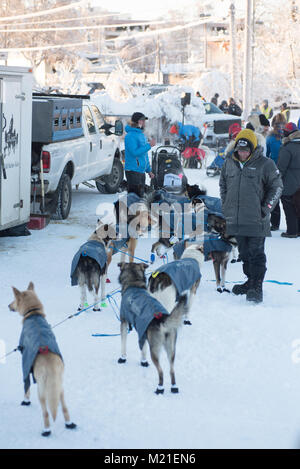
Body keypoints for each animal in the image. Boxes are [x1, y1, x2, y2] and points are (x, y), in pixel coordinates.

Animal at [9, 284, 76, 436]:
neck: (33, 313)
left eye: (13, 299)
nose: (8, 305)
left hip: (41, 391)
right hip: (60, 388)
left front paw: (25, 401)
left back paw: (46, 430)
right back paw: (69, 424)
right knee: (64, 408)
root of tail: (51, 366)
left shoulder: (25, 363)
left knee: (46, 413)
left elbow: (26, 387)